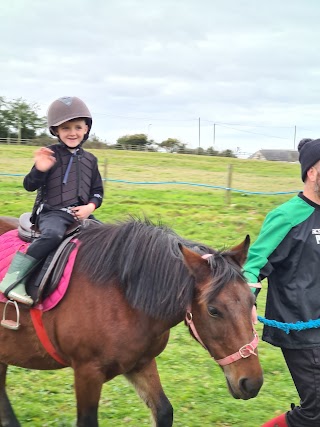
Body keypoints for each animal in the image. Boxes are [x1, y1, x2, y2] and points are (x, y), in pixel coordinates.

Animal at [0, 217, 262, 427]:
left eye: (252, 301)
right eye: (213, 310)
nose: (252, 382)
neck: (123, 297)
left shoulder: (141, 363)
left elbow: (163, 411)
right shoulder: (87, 372)